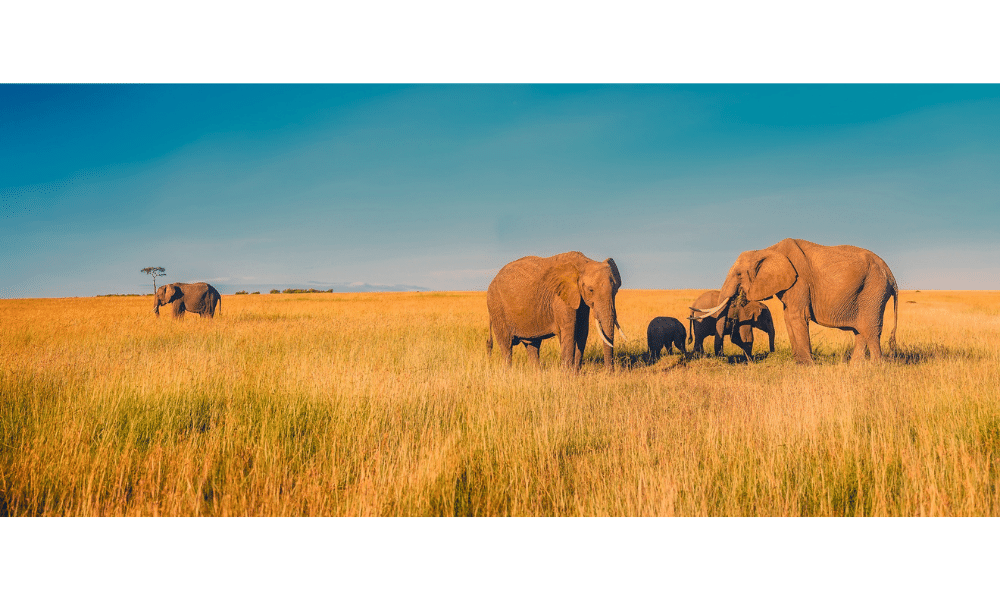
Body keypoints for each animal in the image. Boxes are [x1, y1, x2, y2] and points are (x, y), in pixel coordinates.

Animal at [486, 250, 624, 370]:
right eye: (591, 290)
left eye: (616, 290)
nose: (609, 372)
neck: (584, 262)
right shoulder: (561, 298)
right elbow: (570, 331)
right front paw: (567, 375)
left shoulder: (579, 299)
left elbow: (582, 330)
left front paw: (575, 373)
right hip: (496, 306)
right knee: (506, 346)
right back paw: (508, 372)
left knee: (532, 345)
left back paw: (537, 373)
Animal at [688, 239, 900, 366]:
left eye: (739, 274)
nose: (722, 357)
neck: (768, 250)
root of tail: (891, 275)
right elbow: (788, 316)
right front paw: (798, 362)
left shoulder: (800, 280)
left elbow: (797, 316)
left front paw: (807, 365)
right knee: (860, 330)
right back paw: (855, 366)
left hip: (874, 289)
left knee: (870, 329)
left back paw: (875, 367)